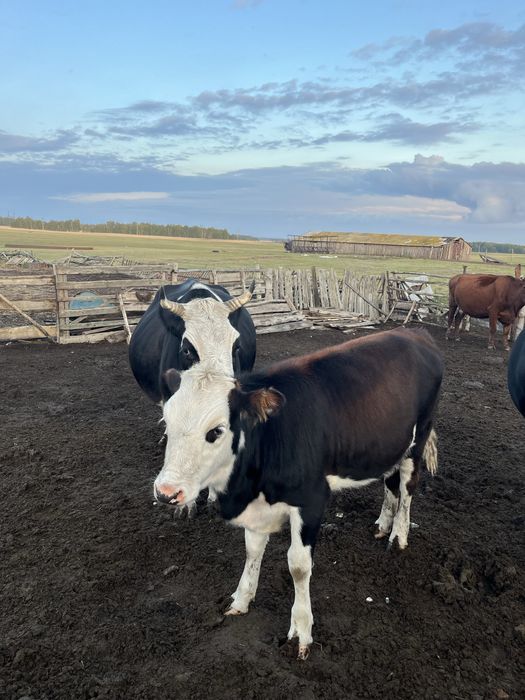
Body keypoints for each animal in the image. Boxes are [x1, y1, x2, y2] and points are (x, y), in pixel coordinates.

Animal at [153, 328, 443, 659]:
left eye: (216, 431)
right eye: (167, 423)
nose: (166, 492)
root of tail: (414, 332)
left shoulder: (312, 500)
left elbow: (299, 566)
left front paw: (301, 631)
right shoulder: (257, 508)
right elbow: (252, 550)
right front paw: (241, 599)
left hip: (418, 438)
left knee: (407, 486)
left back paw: (398, 535)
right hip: (388, 444)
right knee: (390, 482)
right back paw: (383, 523)